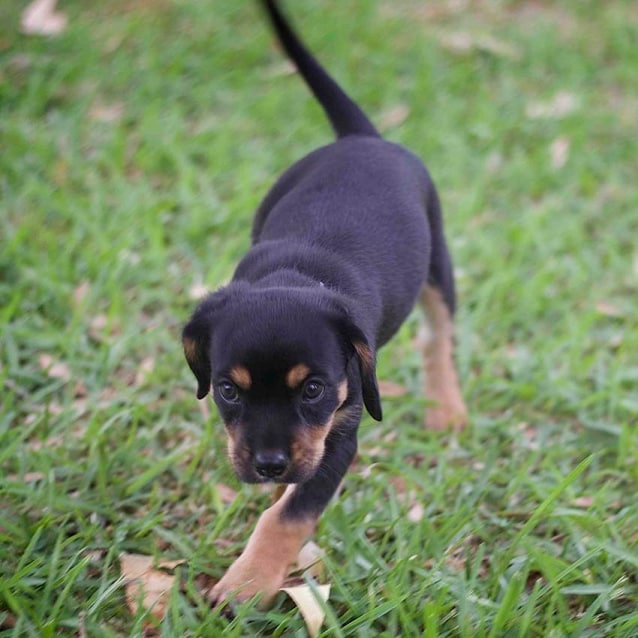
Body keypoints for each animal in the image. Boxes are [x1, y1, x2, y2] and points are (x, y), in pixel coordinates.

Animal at [182, 0, 468, 608]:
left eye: (312, 389)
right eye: (226, 390)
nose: (268, 465)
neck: (297, 277)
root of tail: (363, 137)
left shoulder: (342, 432)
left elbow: (288, 517)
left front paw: (245, 587)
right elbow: (285, 501)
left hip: (439, 264)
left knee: (439, 335)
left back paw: (446, 406)